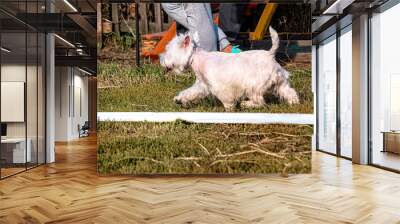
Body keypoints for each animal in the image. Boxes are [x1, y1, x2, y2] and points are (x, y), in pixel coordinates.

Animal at [161, 26, 298, 110]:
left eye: (167, 50)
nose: (161, 59)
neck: (196, 58)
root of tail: (270, 54)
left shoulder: (220, 86)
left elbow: (226, 98)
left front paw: (229, 107)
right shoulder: (202, 85)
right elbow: (190, 92)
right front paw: (179, 99)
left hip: (254, 86)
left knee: (260, 102)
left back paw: (246, 104)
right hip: (281, 82)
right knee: (290, 92)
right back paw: (294, 103)